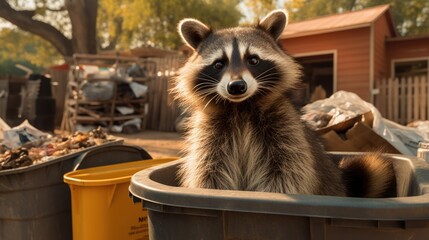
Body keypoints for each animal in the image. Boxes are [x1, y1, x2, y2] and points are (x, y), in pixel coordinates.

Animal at [172, 9, 396, 197]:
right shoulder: (209, 135)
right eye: (219, 64)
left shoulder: (287, 129)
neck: (241, 107)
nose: (236, 86)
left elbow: (287, 173)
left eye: (253, 60)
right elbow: (209, 171)